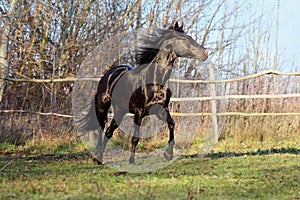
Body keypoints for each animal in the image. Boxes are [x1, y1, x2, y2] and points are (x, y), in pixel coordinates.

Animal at [77, 21, 209, 164]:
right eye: (182, 39)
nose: (205, 52)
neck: (155, 81)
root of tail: (109, 73)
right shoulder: (139, 112)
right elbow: (135, 137)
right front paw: (131, 160)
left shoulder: (160, 110)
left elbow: (171, 124)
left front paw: (168, 154)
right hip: (103, 107)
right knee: (101, 129)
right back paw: (97, 157)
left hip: (120, 111)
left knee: (108, 132)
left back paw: (99, 157)